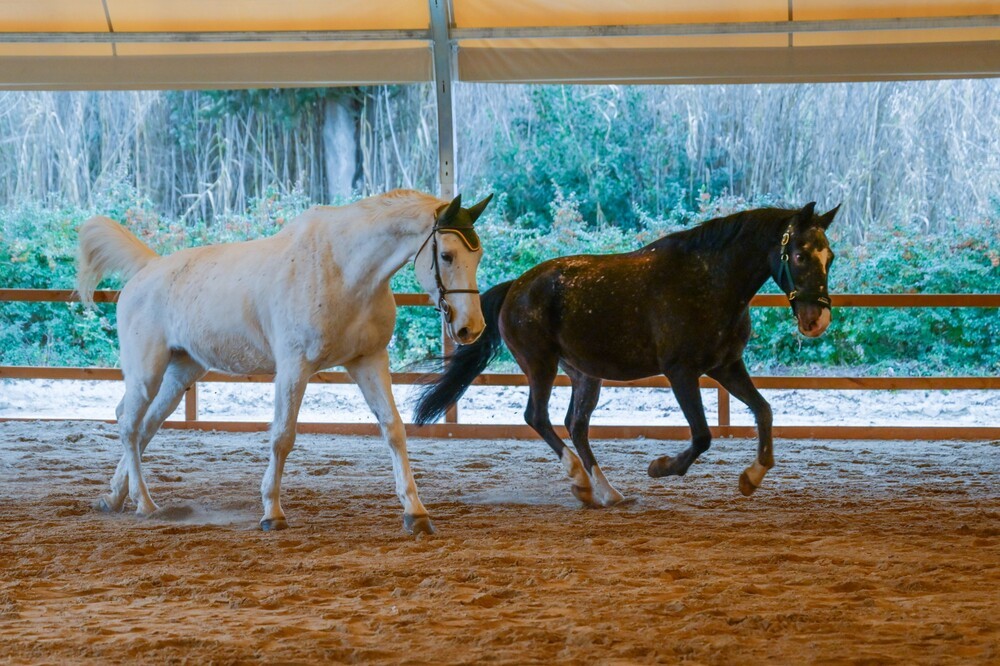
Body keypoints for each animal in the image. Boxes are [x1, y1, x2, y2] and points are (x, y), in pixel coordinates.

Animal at [77, 189, 493, 535]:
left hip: (182, 371)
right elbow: (282, 436)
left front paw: (416, 512)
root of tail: (148, 269)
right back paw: (144, 504)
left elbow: (393, 430)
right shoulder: (294, 368)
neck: (344, 270)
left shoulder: (368, 361)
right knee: (129, 423)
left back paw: (115, 496)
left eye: (478, 256)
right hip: (147, 371)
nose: (470, 328)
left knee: (144, 426)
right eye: (446, 255)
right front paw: (271, 514)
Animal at [414, 202, 839, 506]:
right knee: (538, 417)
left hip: (585, 374)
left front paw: (752, 477)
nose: (816, 319)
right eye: (799, 255)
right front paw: (661, 467)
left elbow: (764, 411)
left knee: (575, 425)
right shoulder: (681, 372)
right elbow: (702, 436)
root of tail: (516, 286)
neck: (710, 279)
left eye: (829, 256)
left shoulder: (726, 367)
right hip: (540, 365)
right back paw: (581, 481)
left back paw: (606, 492)